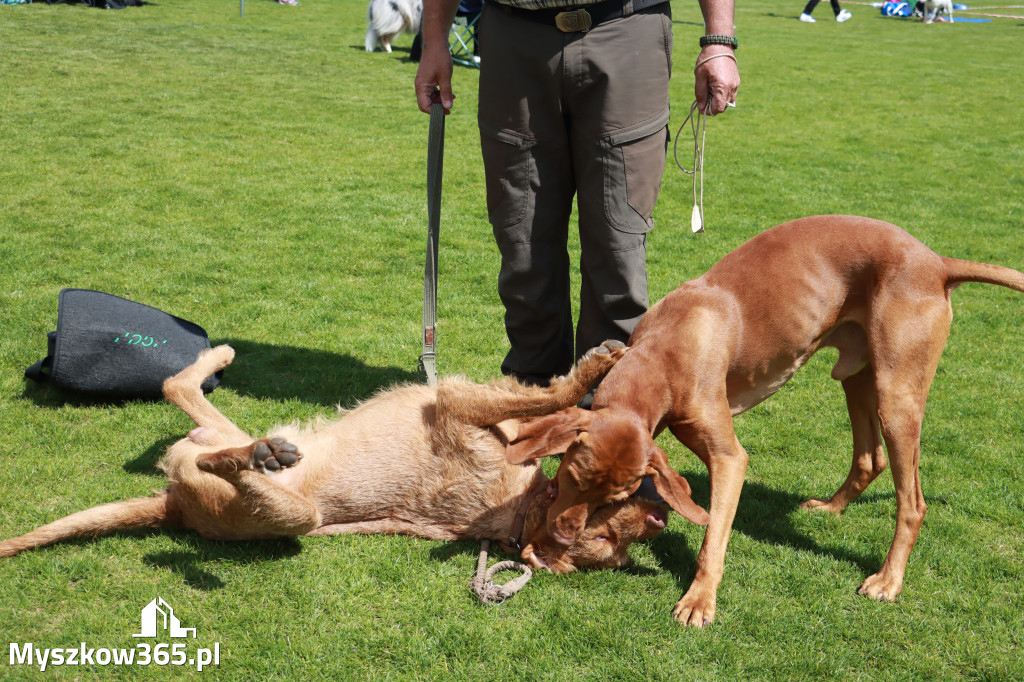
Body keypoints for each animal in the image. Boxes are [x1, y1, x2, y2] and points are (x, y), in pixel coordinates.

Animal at [2, 339, 688, 573]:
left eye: (607, 547)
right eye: (610, 521)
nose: (659, 519)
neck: (520, 511)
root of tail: (169, 505)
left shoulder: (456, 403)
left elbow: (549, 394)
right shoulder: (463, 405)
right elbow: (552, 397)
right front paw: (593, 374)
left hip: (276, 507)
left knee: (200, 430)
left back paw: (252, 452)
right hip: (217, 434)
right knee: (179, 387)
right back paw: (223, 362)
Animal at [507, 218, 1024, 626]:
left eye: (614, 501)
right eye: (570, 479)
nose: (562, 536)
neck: (663, 352)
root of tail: (936, 261)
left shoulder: (729, 457)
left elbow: (713, 537)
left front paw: (699, 601)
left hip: (897, 397)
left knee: (912, 501)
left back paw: (888, 579)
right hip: (858, 375)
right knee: (869, 458)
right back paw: (831, 508)